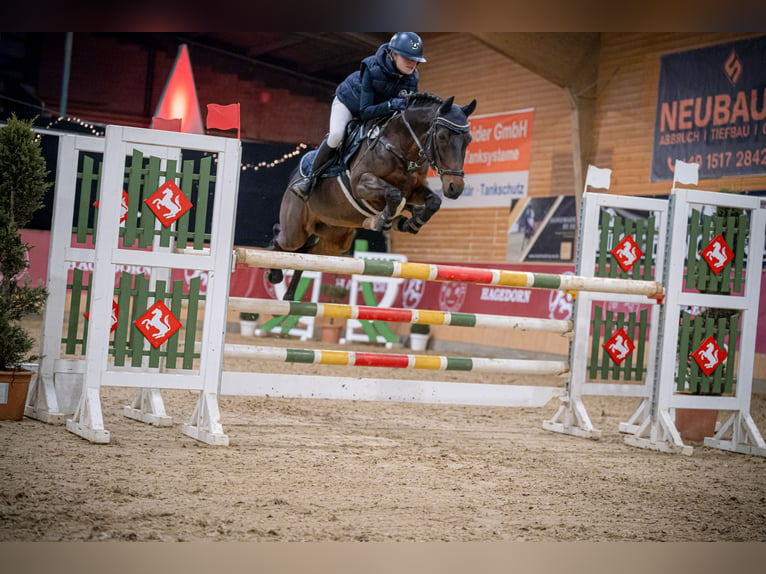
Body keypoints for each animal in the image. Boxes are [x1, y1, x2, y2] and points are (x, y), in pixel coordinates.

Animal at [268, 92, 474, 300]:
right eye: (442, 136)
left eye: (468, 140)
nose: (455, 188)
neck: (401, 148)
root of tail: (294, 179)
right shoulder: (360, 184)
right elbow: (394, 194)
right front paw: (385, 220)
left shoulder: (414, 189)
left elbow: (432, 201)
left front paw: (412, 222)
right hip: (296, 231)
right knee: (281, 240)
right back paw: (275, 273)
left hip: (336, 239)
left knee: (310, 255)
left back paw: (289, 296)